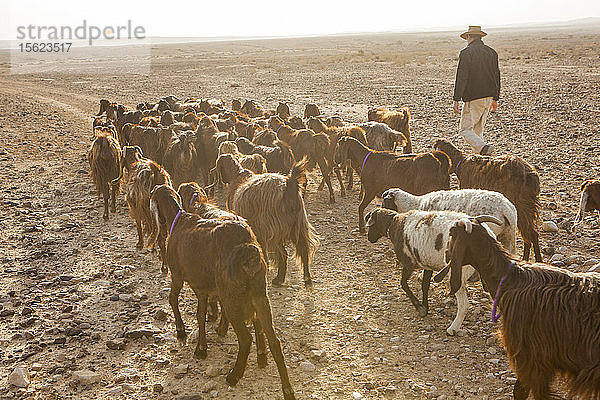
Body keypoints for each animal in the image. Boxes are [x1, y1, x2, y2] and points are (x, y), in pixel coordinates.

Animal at [149, 185, 296, 400]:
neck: (179, 220)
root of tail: (249, 250)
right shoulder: (202, 287)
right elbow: (200, 314)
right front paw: (201, 348)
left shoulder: (177, 275)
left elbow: (173, 299)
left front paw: (181, 331)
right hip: (259, 295)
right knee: (274, 340)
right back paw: (286, 388)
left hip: (231, 296)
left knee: (246, 338)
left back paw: (234, 376)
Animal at [216, 155, 318, 286]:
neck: (238, 176)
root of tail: (289, 186)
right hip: (298, 226)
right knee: (304, 251)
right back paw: (306, 280)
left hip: (273, 229)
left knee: (283, 254)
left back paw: (279, 279)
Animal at [366, 206, 502, 334]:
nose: (369, 239)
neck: (393, 224)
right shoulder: (427, 265)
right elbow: (424, 286)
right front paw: (425, 307)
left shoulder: (409, 264)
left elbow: (403, 284)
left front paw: (419, 307)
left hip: (457, 274)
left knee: (464, 305)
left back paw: (453, 329)